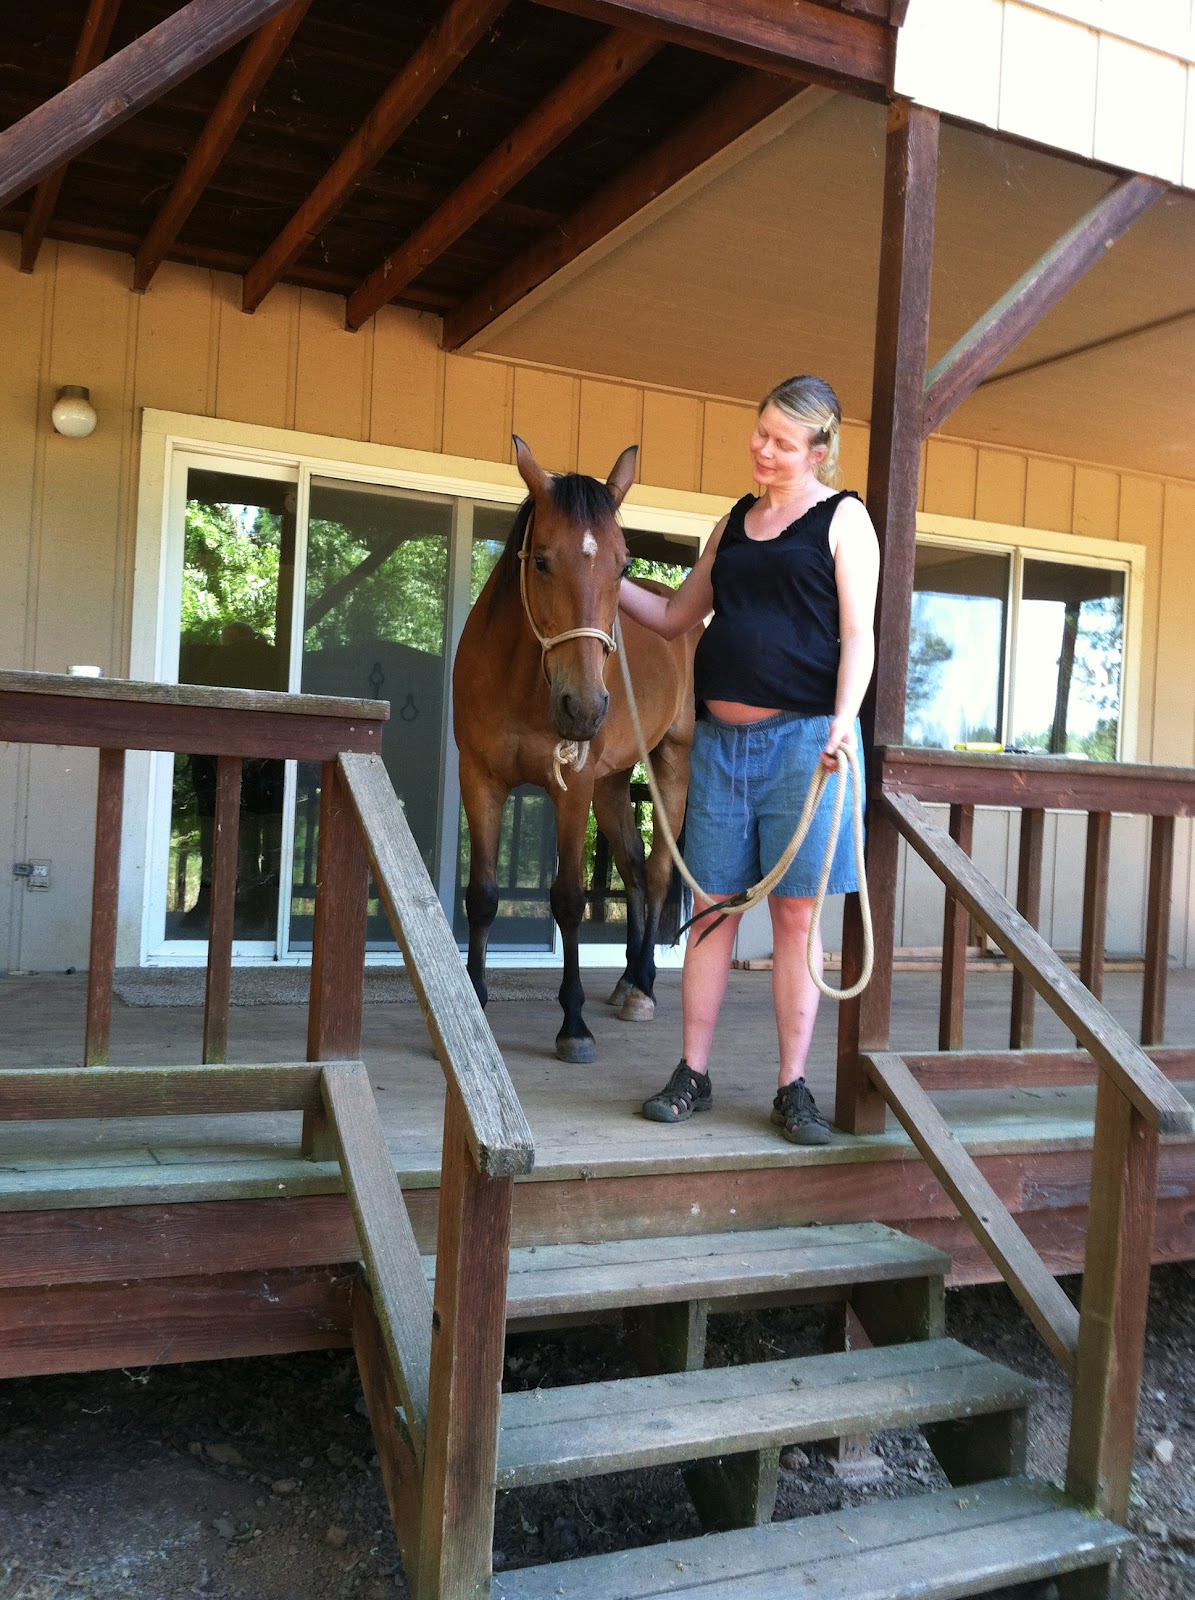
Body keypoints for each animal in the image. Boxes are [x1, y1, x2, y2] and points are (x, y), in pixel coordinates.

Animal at [452, 437, 700, 1063]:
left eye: (623, 565)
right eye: (541, 560)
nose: (585, 708)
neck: (522, 681)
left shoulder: (573, 789)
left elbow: (567, 899)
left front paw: (573, 1023)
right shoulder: (479, 778)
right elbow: (482, 895)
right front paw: (476, 999)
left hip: (668, 767)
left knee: (657, 874)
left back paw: (642, 989)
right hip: (612, 783)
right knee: (633, 868)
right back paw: (626, 979)